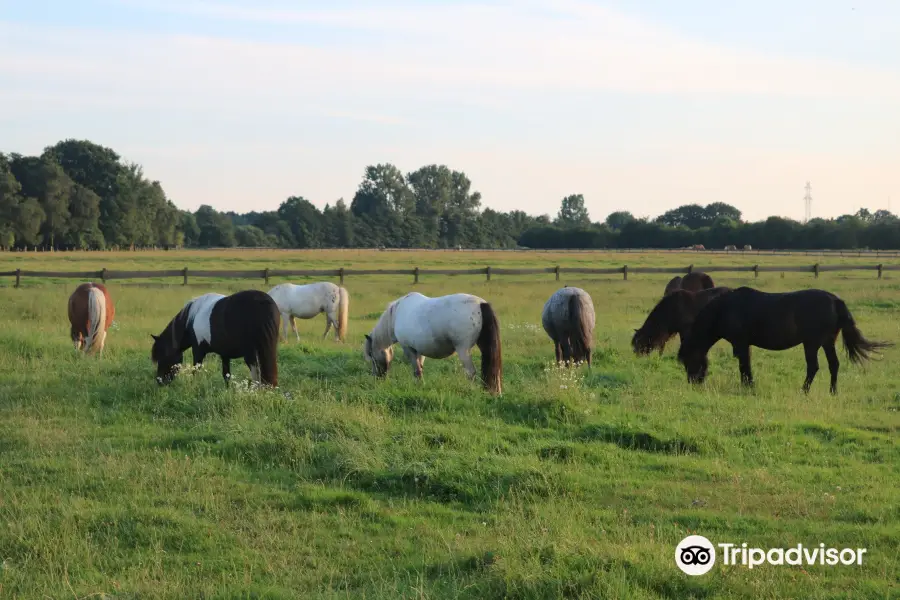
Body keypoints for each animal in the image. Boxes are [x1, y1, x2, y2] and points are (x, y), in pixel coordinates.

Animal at [150, 292, 282, 390]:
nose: (160, 381)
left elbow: (196, 371)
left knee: (257, 374)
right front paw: (227, 390)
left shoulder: (198, 350)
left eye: (163, 356)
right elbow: (226, 375)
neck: (192, 318)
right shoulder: (225, 354)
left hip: (251, 354)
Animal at [366, 292, 506, 396]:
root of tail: (480, 303)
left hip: (463, 349)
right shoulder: (419, 349)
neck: (397, 314)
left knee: (470, 372)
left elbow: (416, 370)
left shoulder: (408, 348)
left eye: (371, 355)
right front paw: (420, 385)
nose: (377, 378)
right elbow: (420, 368)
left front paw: (419, 386)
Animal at [676, 288, 892, 394]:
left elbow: (744, 366)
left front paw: (748, 386)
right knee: (834, 365)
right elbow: (746, 365)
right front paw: (748, 385)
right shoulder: (745, 345)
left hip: (811, 343)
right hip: (827, 341)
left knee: (813, 367)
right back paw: (832, 391)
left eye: (689, 360)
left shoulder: (741, 343)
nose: (693, 382)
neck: (725, 310)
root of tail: (835, 300)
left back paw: (804, 390)